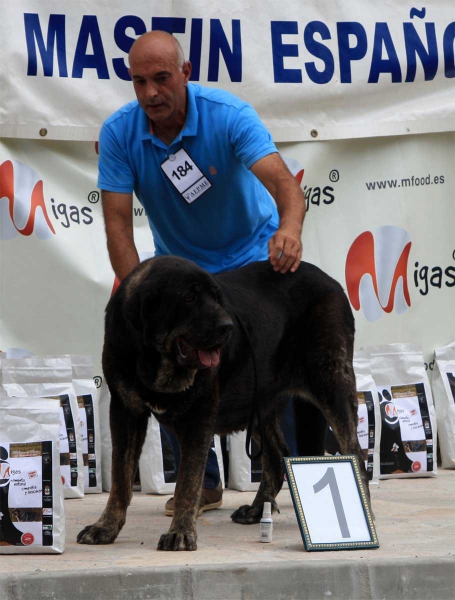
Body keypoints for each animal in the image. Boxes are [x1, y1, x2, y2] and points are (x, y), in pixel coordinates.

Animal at [77, 255, 370, 552]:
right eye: (189, 297)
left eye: (216, 298)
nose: (227, 327)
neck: (156, 358)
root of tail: (330, 281)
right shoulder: (126, 412)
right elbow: (120, 478)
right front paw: (106, 527)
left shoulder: (199, 414)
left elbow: (187, 481)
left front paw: (181, 532)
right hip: (259, 405)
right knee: (277, 458)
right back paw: (257, 510)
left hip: (331, 382)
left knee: (355, 453)